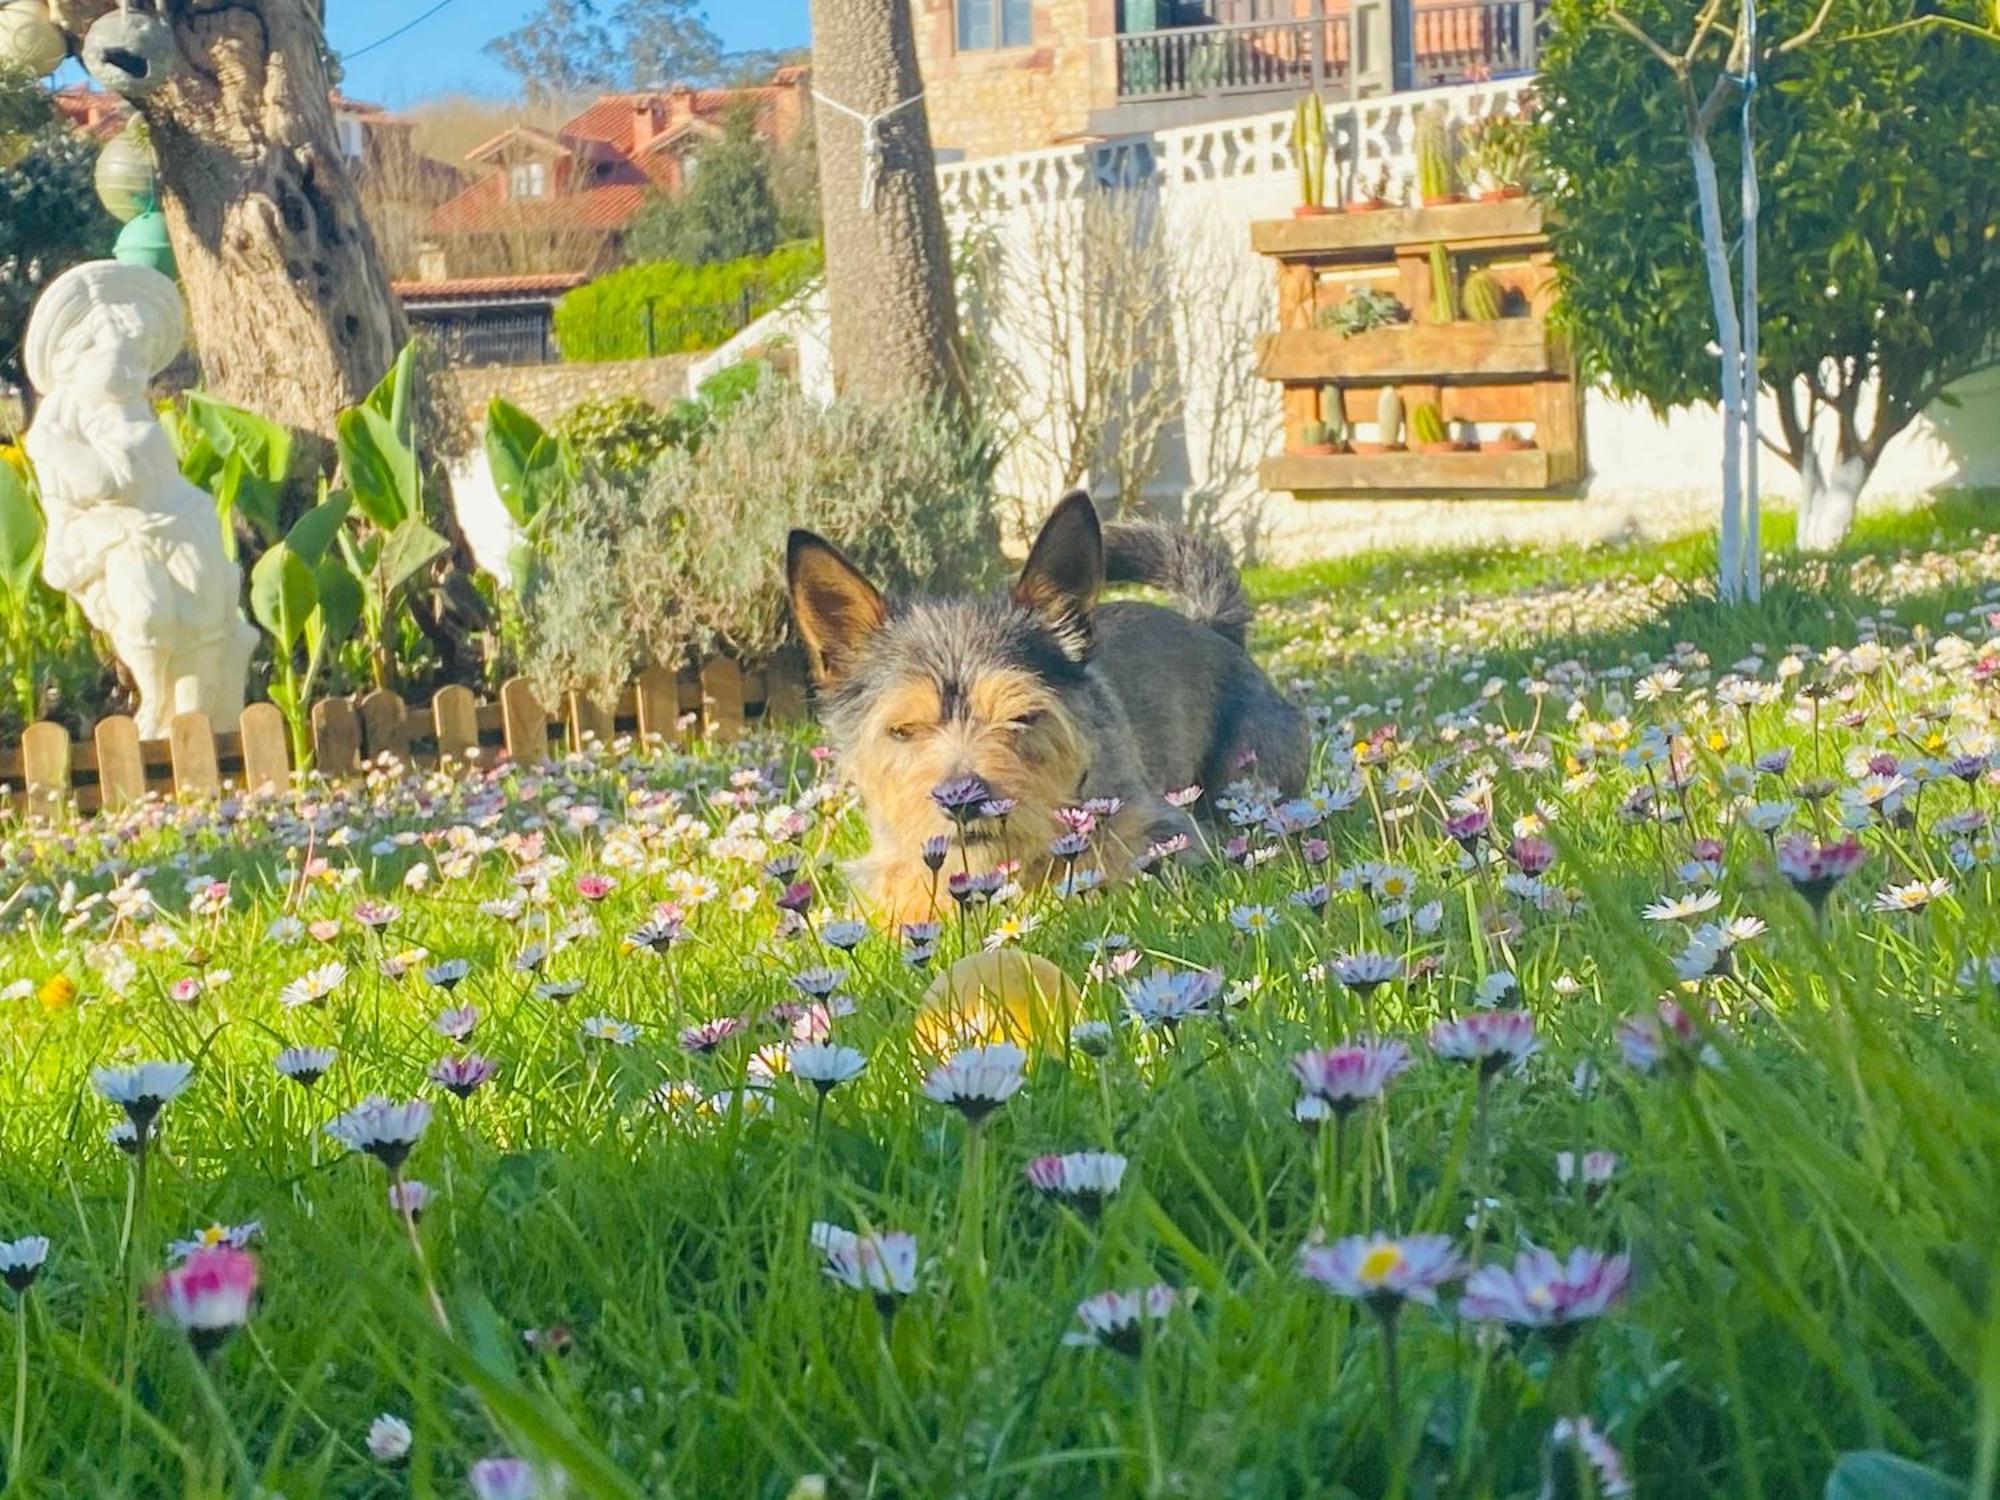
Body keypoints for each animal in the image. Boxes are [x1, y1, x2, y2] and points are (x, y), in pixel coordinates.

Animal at [780, 494, 1312, 924]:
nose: (961, 801)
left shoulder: (1162, 828)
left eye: (1021, 716)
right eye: (903, 729)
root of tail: (1214, 627)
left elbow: (1110, 866)